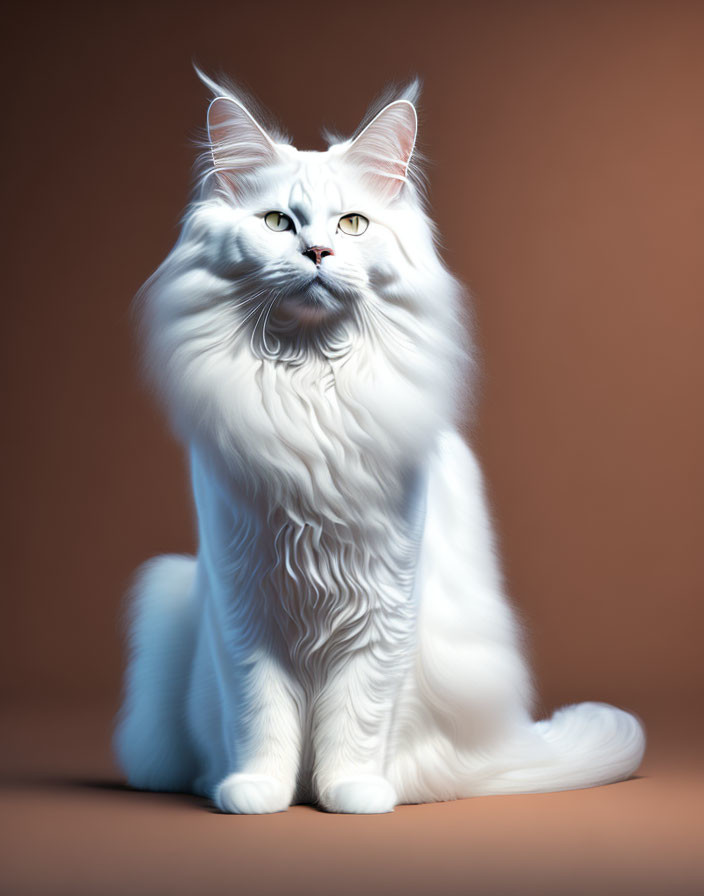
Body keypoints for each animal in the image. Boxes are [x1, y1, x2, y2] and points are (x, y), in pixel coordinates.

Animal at [114, 72, 644, 812]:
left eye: (352, 225)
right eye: (278, 223)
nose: (317, 253)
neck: (312, 394)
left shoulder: (382, 608)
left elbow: (357, 713)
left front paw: (350, 792)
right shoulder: (245, 607)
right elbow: (259, 712)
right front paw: (257, 791)